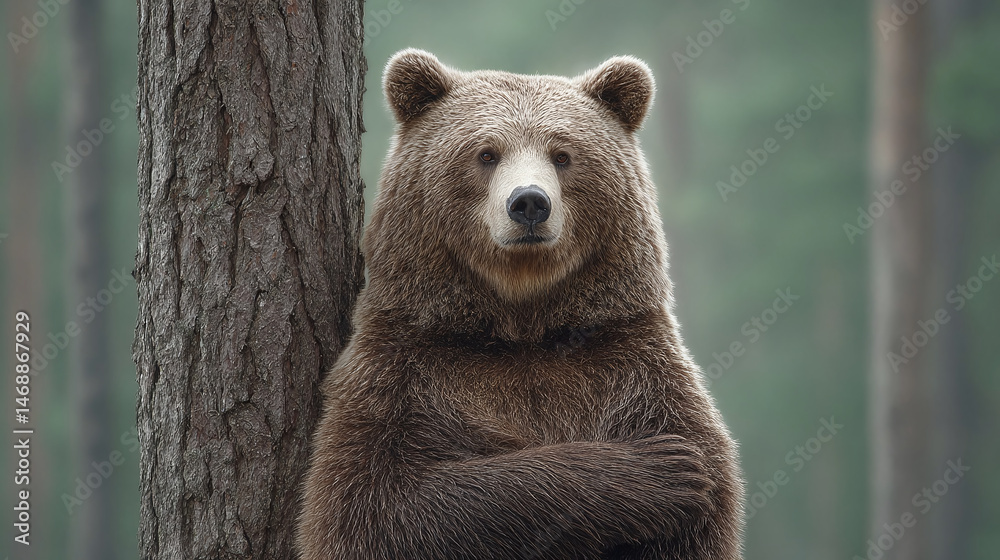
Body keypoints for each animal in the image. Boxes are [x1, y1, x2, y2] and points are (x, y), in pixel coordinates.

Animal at [297, 49, 745, 559]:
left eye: (563, 155)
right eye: (486, 153)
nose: (529, 202)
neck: (522, 321)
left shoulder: (635, 370)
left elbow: (701, 499)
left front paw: (686, 469)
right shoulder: (401, 375)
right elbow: (376, 504)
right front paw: (668, 468)